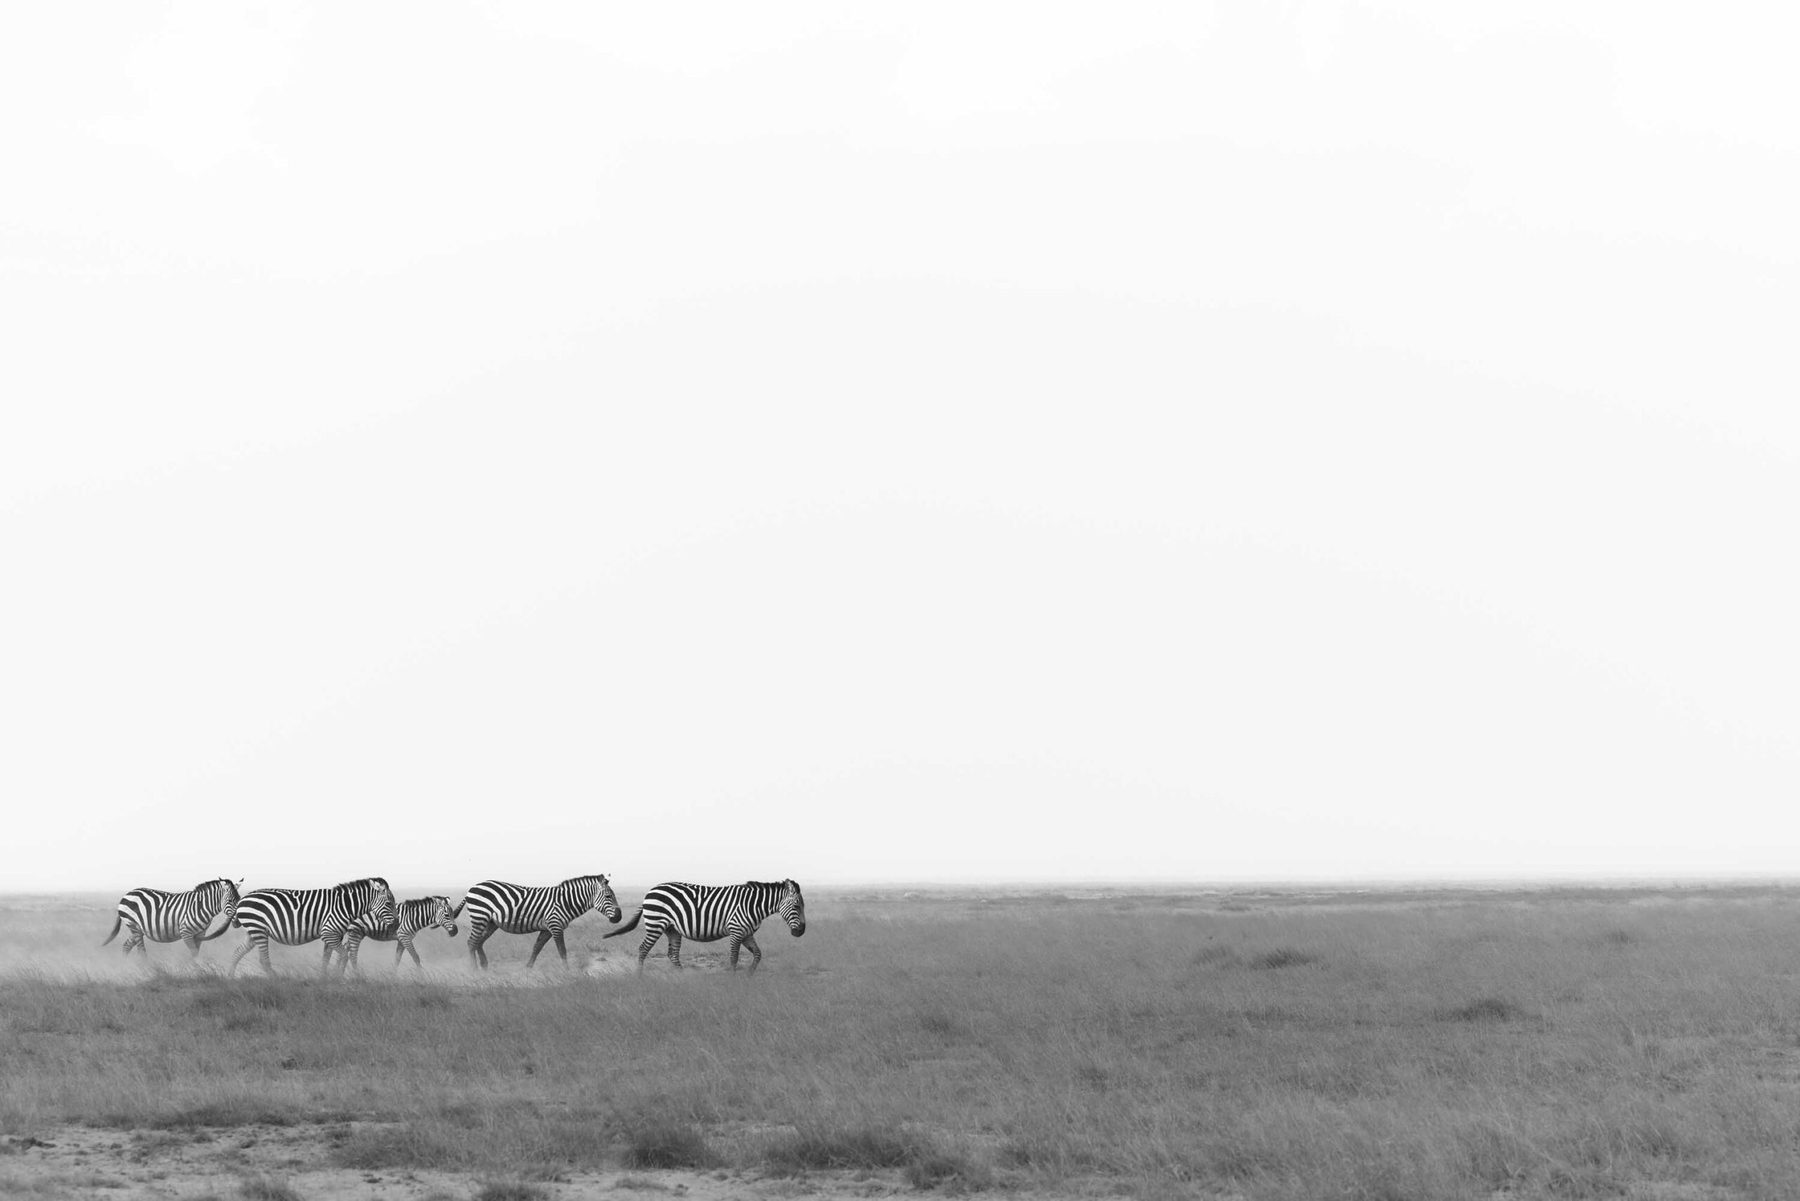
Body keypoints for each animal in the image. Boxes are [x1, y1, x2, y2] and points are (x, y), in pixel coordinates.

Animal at [100, 877, 242, 960]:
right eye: (230, 900)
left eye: (239, 899)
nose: (238, 922)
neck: (200, 906)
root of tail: (127, 894)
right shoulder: (186, 932)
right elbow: (193, 953)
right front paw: (195, 971)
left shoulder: (200, 933)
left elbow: (196, 953)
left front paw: (196, 970)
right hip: (133, 925)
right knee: (141, 952)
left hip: (137, 929)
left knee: (126, 946)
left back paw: (125, 966)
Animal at [227, 877, 397, 977]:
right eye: (389, 903)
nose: (396, 925)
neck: (345, 906)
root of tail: (242, 899)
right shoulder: (328, 933)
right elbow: (344, 955)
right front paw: (337, 977)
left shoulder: (334, 935)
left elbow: (325, 959)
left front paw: (324, 979)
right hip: (258, 930)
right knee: (263, 960)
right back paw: (277, 980)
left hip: (253, 931)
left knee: (237, 952)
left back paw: (230, 978)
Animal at [462, 875, 621, 969]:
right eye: (608, 896)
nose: (619, 917)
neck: (565, 901)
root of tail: (473, 887)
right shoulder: (555, 925)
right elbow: (562, 951)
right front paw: (567, 971)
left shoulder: (546, 928)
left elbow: (536, 948)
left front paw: (528, 968)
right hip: (479, 917)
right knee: (471, 942)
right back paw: (474, 969)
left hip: (491, 923)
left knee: (479, 942)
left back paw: (484, 966)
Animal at [603, 879, 806, 973]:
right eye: (797, 906)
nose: (801, 932)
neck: (752, 905)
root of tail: (650, 891)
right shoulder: (736, 930)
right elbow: (734, 958)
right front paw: (734, 980)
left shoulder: (747, 933)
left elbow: (758, 954)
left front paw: (749, 975)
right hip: (655, 924)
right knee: (643, 949)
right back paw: (640, 976)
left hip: (672, 929)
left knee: (672, 954)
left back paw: (682, 977)